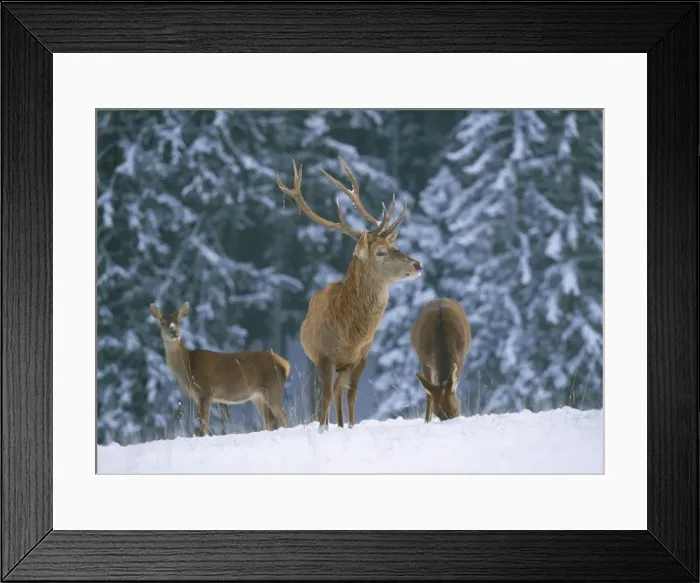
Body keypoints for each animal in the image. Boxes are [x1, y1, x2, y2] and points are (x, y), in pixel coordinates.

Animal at [149, 301, 288, 436]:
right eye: (162, 322)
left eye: (179, 322)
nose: (174, 332)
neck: (188, 367)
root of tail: (285, 364)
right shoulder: (196, 396)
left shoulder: (206, 391)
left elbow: (203, 425)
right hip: (258, 396)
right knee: (270, 418)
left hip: (273, 388)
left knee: (281, 414)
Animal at [276, 156, 423, 433]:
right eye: (380, 252)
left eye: (394, 245)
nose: (418, 264)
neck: (350, 334)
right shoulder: (323, 357)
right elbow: (323, 399)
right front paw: (322, 429)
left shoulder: (361, 358)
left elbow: (351, 396)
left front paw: (351, 427)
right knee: (330, 393)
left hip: (345, 367)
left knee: (339, 391)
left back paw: (343, 424)